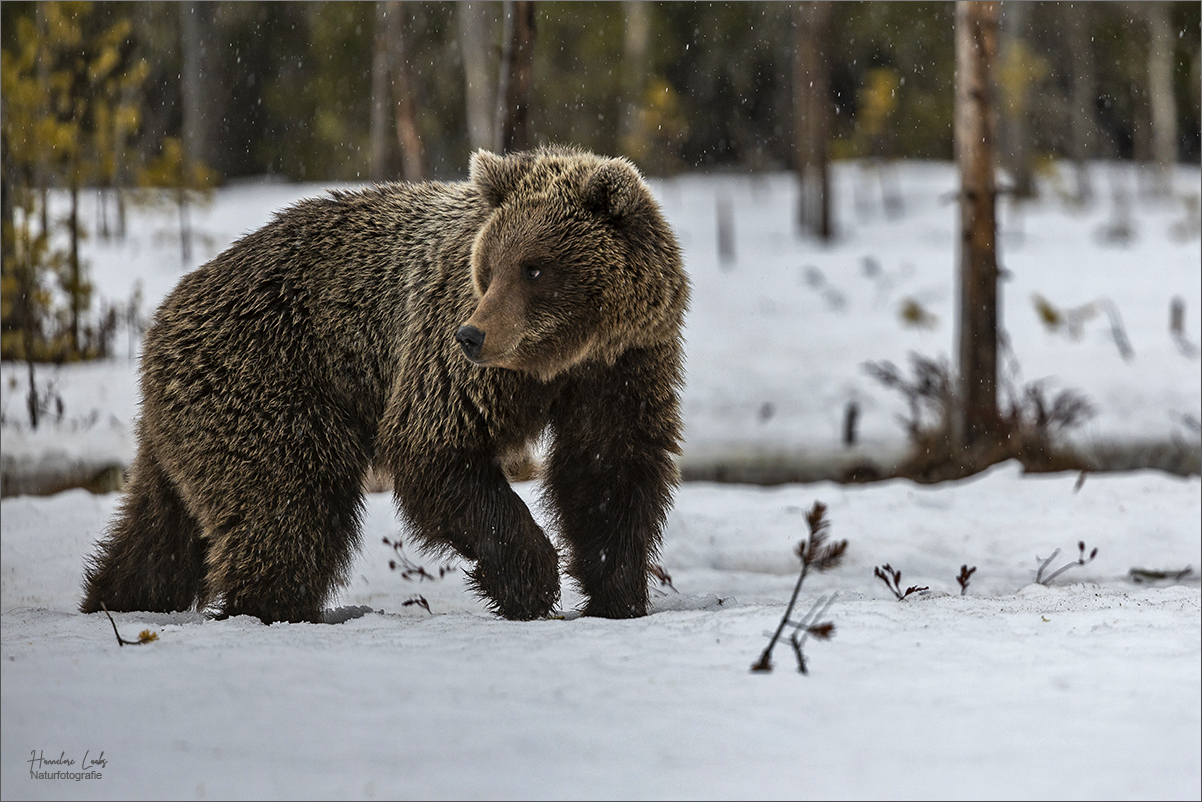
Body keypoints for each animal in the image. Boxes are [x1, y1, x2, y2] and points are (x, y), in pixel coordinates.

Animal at [79, 149, 687, 625]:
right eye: (489, 265)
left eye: (534, 268)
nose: (473, 335)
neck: (564, 357)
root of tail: (162, 317)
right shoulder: (453, 359)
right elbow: (435, 448)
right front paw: (533, 579)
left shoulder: (624, 367)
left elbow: (606, 468)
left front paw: (618, 591)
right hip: (267, 380)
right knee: (291, 505)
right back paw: (274, 608)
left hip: (192, 423)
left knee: (160, 535)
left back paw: (114, 599)